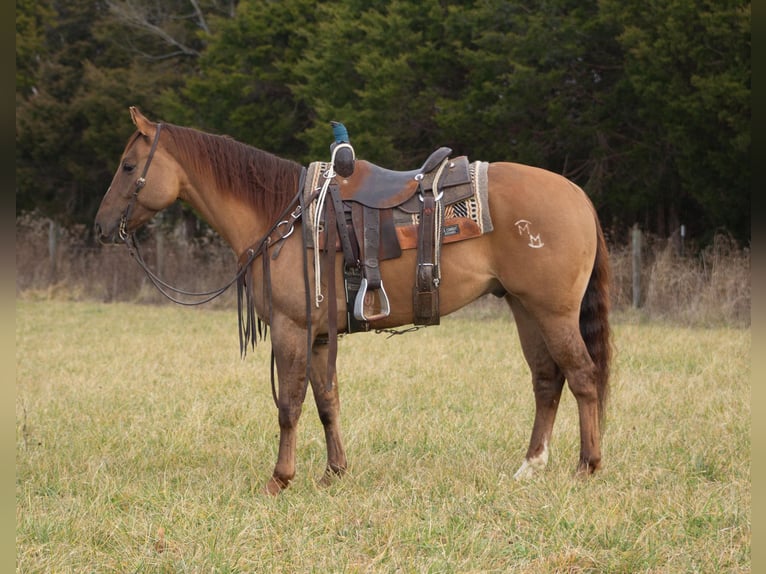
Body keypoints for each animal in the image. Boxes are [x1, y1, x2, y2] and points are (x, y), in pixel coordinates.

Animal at [94, 108, 612, 496]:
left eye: (127, 166)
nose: (100, 226)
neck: (282, 217)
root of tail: (579, 196)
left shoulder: (290, 328)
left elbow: (290, 404)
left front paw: (279, 479)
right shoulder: (321, 334)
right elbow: (327, 400)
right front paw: (334, 472)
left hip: (553, 312)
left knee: (582, 376)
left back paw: (586, 466)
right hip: (525, 309)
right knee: (546, 380)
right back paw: (531, 465)